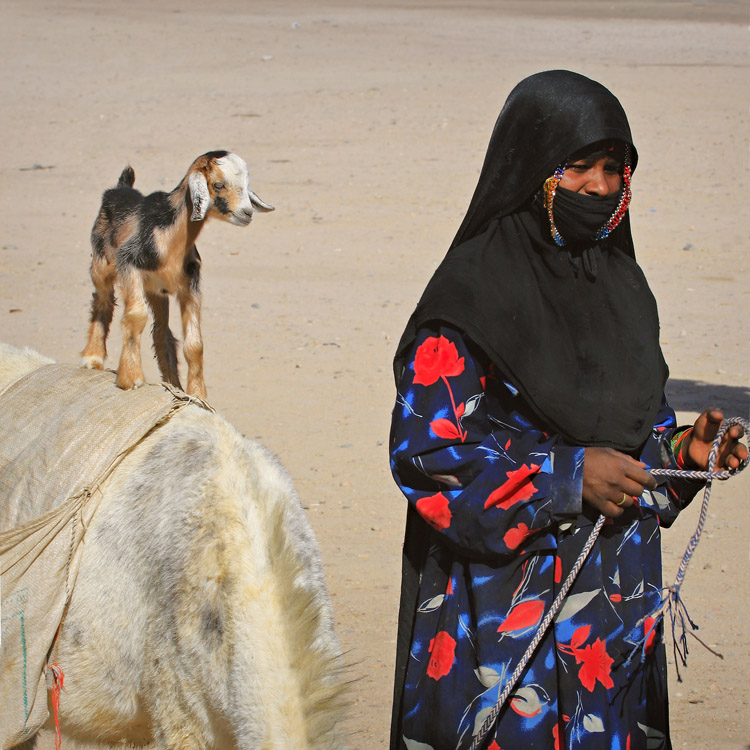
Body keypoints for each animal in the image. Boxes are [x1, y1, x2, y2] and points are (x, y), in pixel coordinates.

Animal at [81, 151, 274, 402]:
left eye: (246, 184)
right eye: (218, 184)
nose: (247, 213)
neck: (171, 238)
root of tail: (120, 188)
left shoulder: (190, 286)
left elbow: (195, 344)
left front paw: (198, 395)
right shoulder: (129, 264)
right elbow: (136, 315)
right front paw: (131, 378)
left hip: (157, 292)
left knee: (161, 332)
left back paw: (173, 385)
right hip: (101, 265)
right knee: (102, 301)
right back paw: (92, 358)